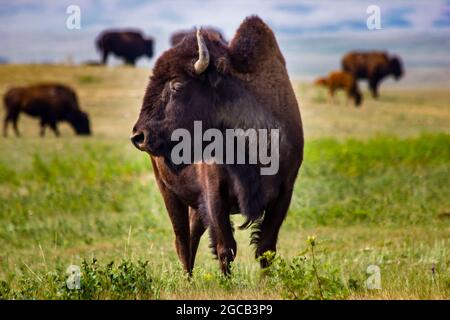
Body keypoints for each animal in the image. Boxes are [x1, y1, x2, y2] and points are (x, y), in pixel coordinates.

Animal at [132, 15, 304, 276]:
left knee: (191, 237)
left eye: (177, 84)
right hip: (167, 190)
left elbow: (266, 247)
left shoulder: (285, 191)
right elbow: (226, 247)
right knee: (182, 240)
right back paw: (188, 279)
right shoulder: (214, 194)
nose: (139, 135)